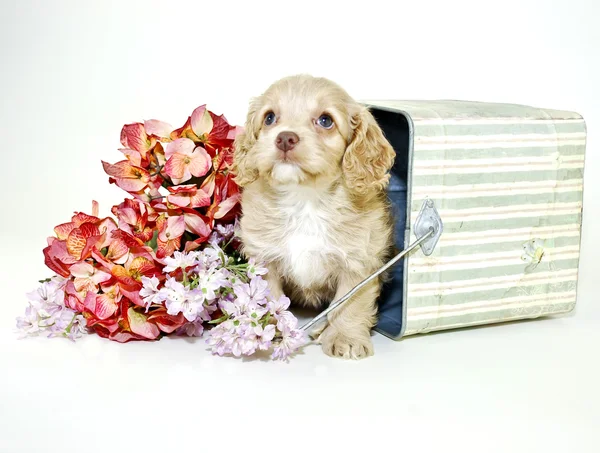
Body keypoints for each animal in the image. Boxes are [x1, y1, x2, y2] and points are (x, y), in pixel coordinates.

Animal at [232, 74, 396, 358]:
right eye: (269, 118)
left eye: (326, 120)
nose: (285, 138)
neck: (305, 200)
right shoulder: (265, 259)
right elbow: (270, 298)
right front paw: (270, 329)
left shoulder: (359, 262)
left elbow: (350, 303)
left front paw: (345, 338)